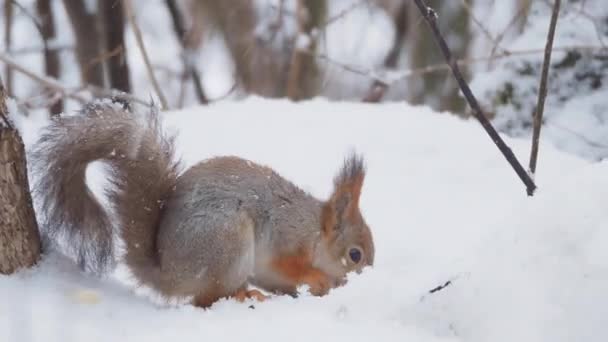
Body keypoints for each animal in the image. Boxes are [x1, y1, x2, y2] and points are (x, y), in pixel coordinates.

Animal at [33, 101, 376, 308]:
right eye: (354, 255)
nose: (360, 281)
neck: (315, 231)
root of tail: (170, 275)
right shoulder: (287, 238)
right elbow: (290, 266)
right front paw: (318, 279)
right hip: (227, 242)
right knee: (206, 299)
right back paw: (243, 295)